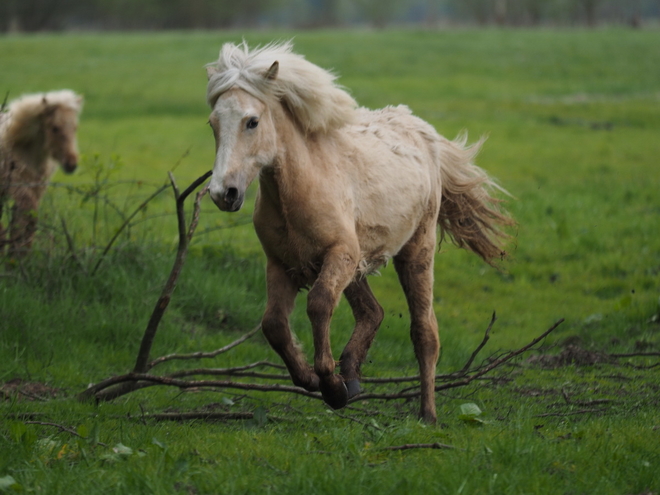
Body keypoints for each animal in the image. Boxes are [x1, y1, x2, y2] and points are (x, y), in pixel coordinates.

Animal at [0, 90, 83, 258]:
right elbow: (26, 215)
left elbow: (24, 220)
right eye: (55, 128)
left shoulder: (36, 187)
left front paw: (19, 255)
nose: (71, 164)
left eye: (75, 127)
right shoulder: (17, 186)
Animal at [204, 40, 512, 424]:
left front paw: (331, 387)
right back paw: (352, 375)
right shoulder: (281, 264)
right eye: (213, 123)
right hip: (356, 266)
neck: (302, 187)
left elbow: (319, 304)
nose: (223, 193)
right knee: (372, 312)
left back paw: (427, 414)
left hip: (415, 251)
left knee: (424, 331)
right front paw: (315, 379)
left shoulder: (339, 254)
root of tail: (423, 131)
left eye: (252, 121)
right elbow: (273, 324)